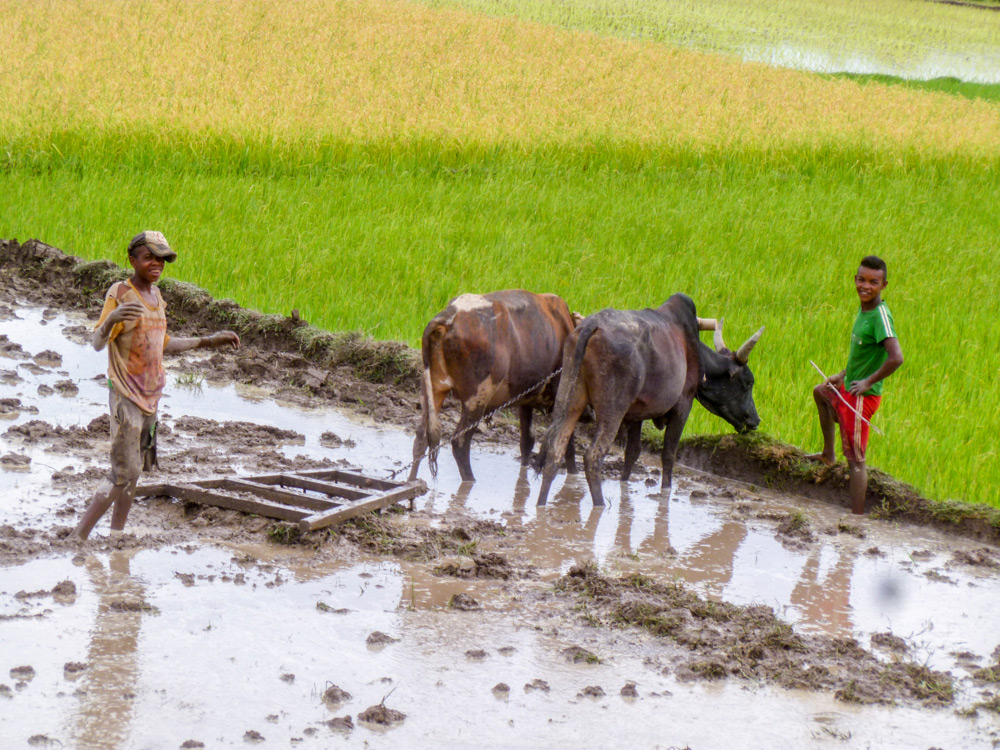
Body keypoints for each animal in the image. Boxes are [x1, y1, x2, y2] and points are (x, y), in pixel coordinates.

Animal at [406, 290, 580, 484]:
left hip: (433, 389)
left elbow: (527, 442)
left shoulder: (525, 399)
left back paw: (411, 481)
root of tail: (450, 316)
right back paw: (470, 480)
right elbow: (567, 445)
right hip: (477, 397)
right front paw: (574, 475)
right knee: (459, 442)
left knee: (421, 438)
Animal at [536, 294, 760, 506]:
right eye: (748, 382)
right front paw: (666, 491)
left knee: (555, 449)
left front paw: (624, 484)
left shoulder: (637, 414)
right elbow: (668, 455)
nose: (755, 420)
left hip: (570, 400)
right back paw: (600, 505)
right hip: (612, 411)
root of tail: (591, 326)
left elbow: (632, 453)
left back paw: (541, 504)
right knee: (593, 456)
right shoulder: (683, 405)